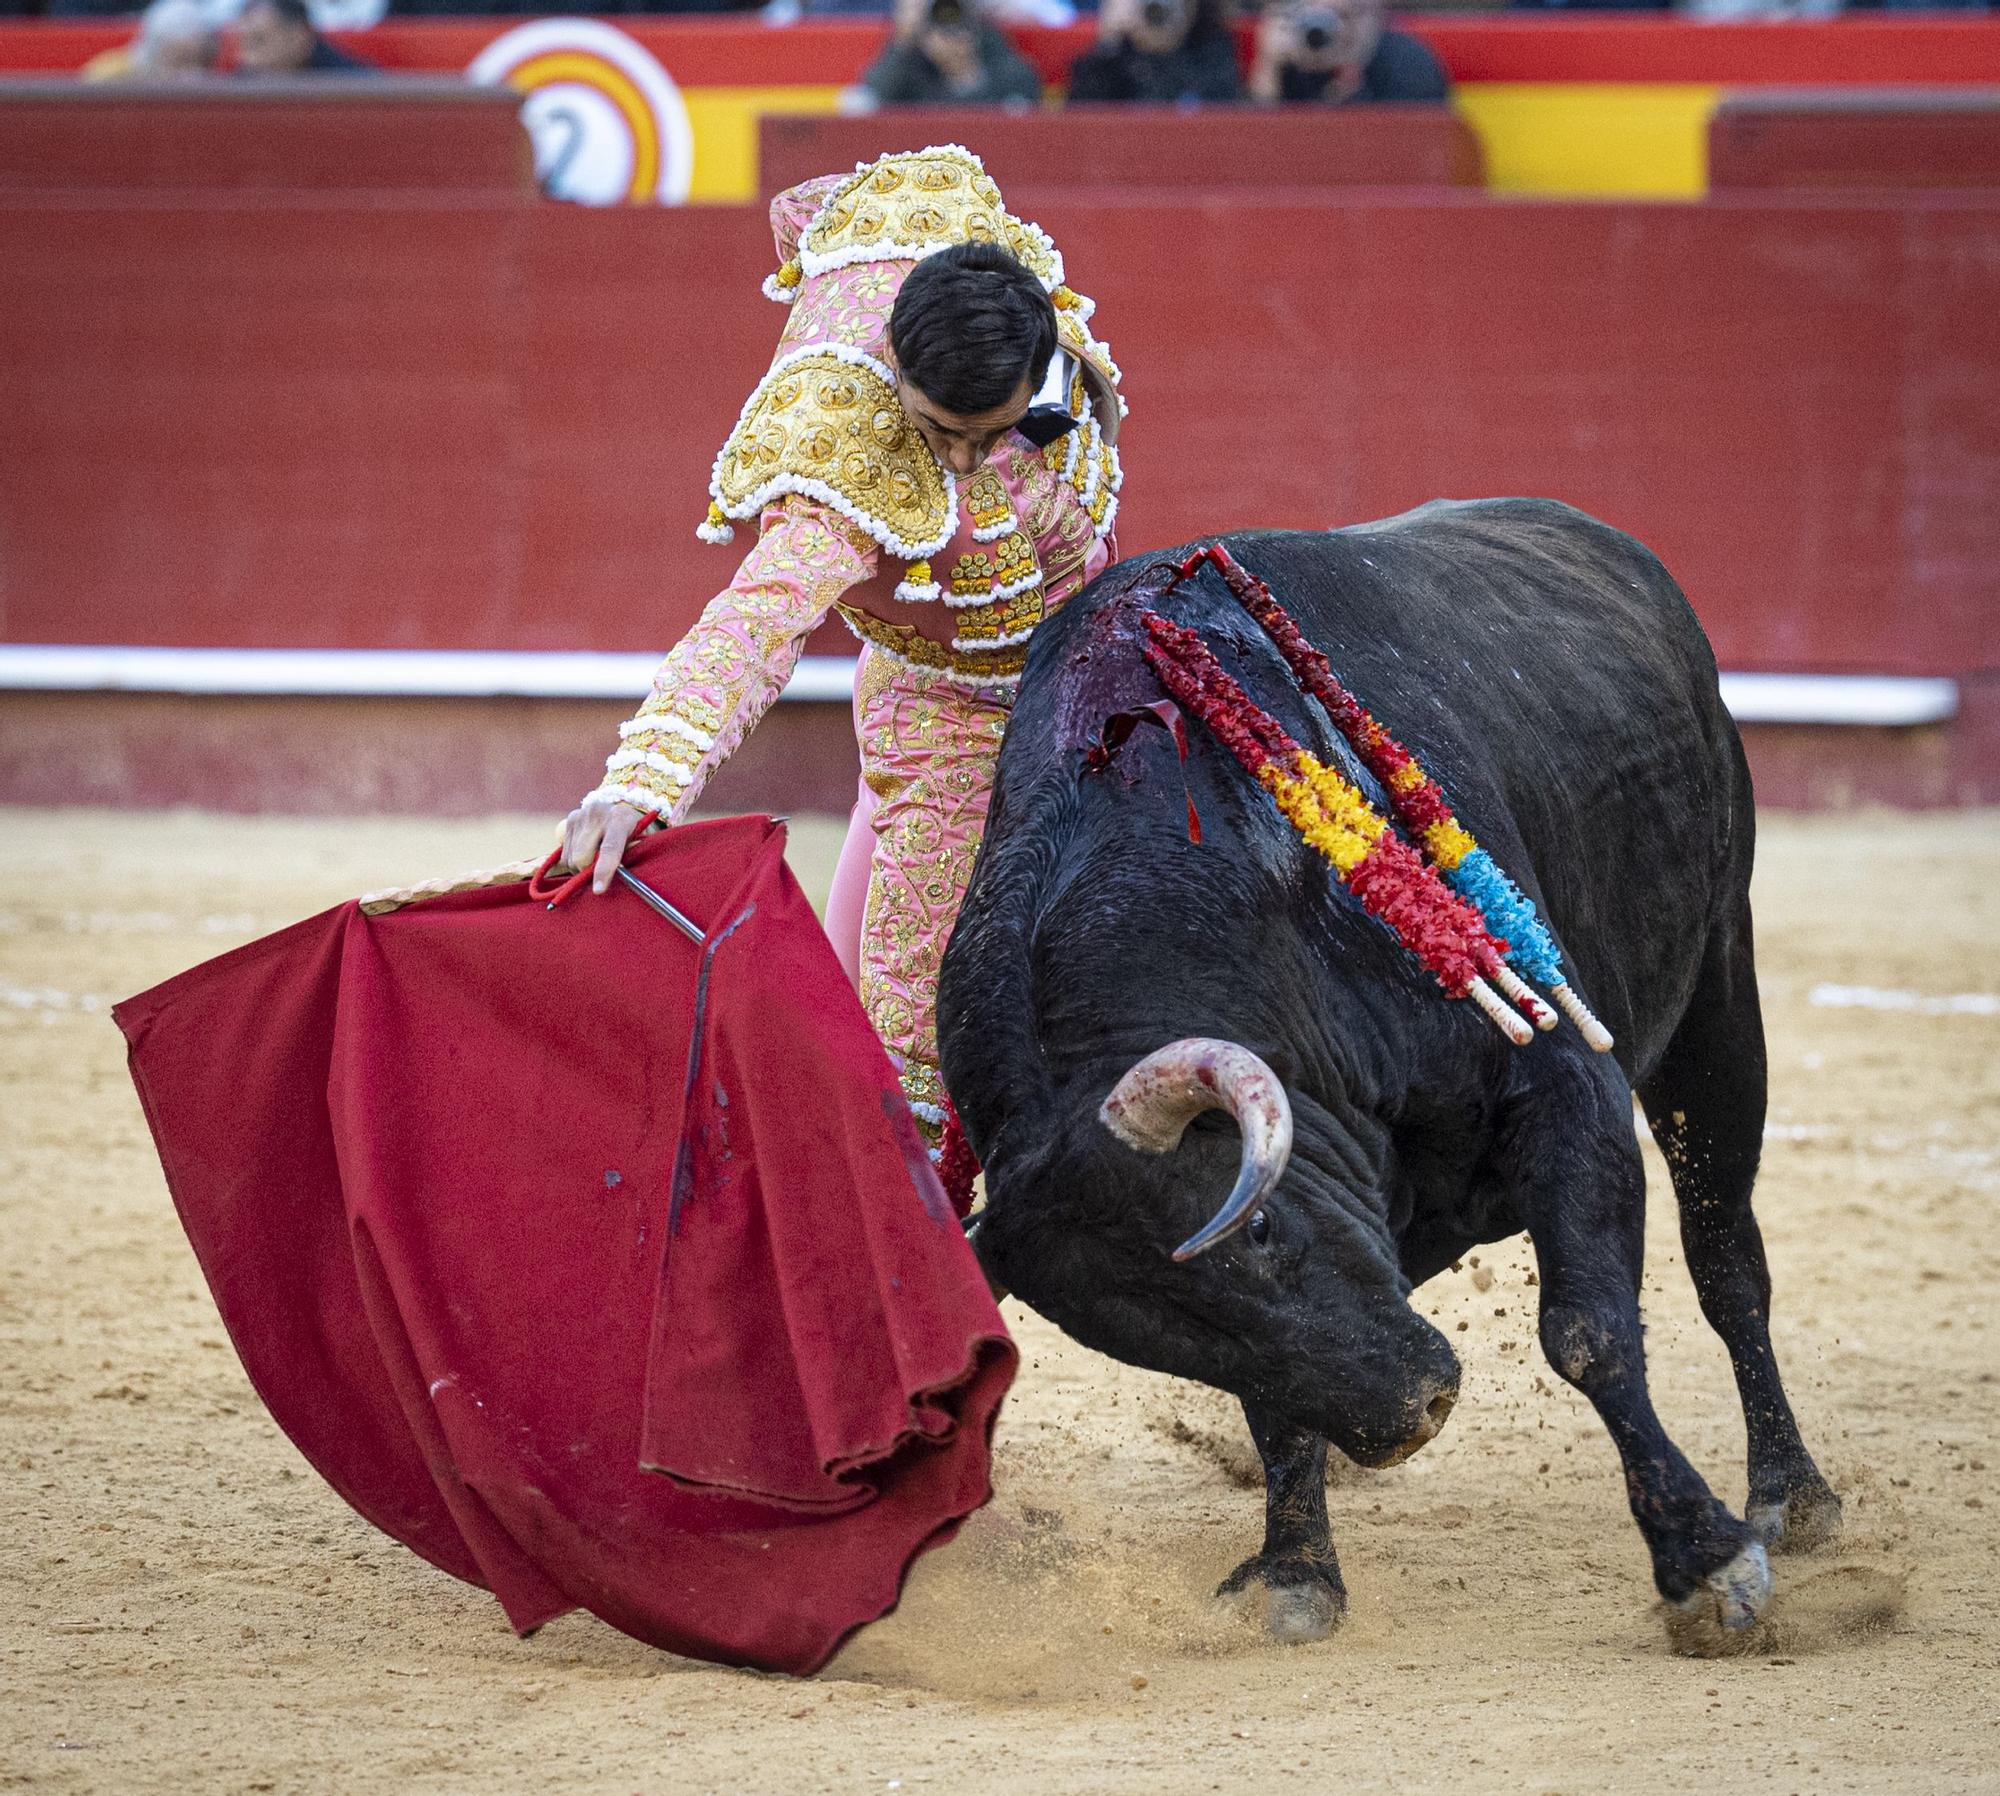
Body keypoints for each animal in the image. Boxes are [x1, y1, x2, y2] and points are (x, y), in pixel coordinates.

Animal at [936, 500, 1840, 1640]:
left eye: (1262, 1231)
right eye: (1159, 1344)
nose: (1412, 1412)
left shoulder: (1559, 1079)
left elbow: (1587, 1330)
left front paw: (1706, 1563)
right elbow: (1277, 1402)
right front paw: (1294, 1568)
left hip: (1718, 988)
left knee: (1726, 1257)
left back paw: (1791, 1496)